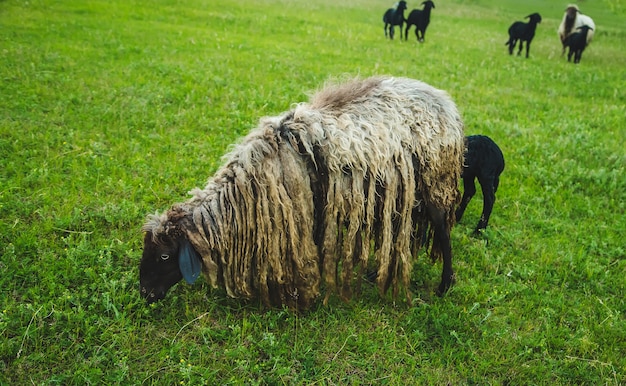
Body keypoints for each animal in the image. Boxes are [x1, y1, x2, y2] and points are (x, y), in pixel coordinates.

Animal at [140, 77, 464, 310]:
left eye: (166, 256)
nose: (145, 293)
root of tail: (447, 103)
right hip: (399, 192)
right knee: (401, 230)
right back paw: (378, 272)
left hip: (436, 183)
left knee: (442, 231)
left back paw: (444, 285)